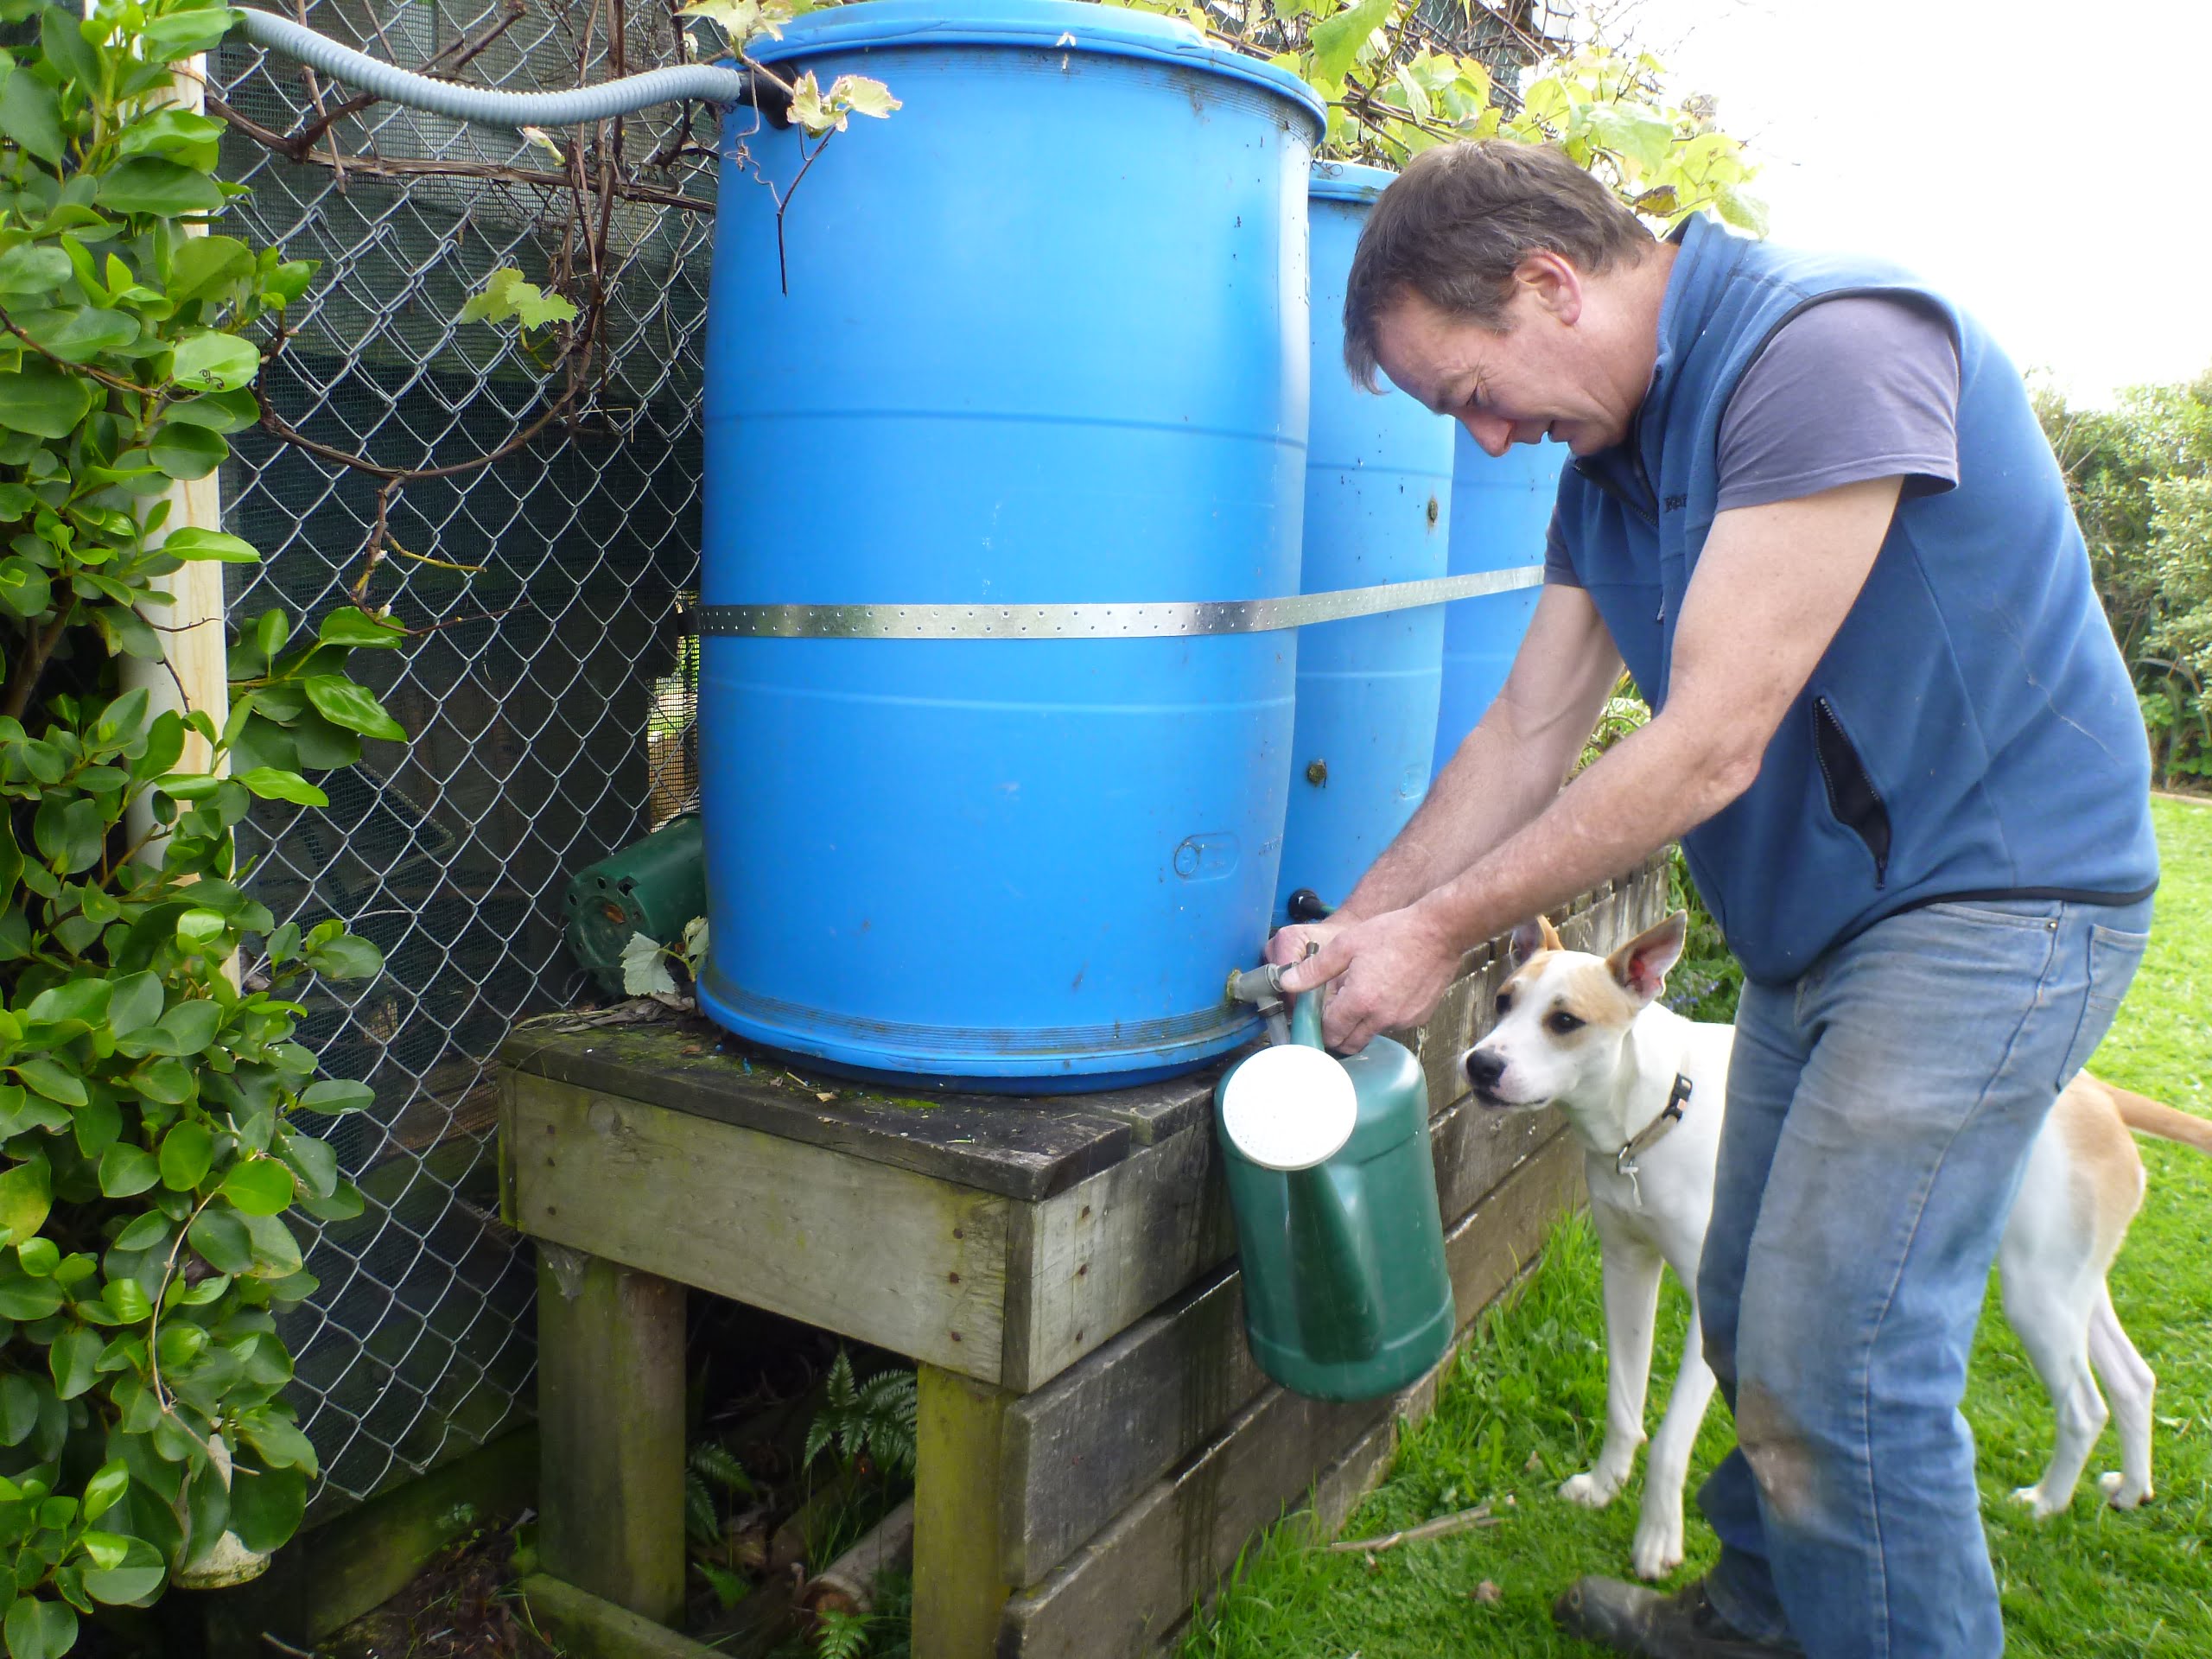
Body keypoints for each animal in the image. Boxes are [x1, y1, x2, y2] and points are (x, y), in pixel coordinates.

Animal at [1459, 925, 2202, 1583]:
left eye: (1565, 1020)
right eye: (1502, 1001)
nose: (1480, 1064)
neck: (1658, 1102)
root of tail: (2100, 1094)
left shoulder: (1714, 1306)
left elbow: (1670, 1439)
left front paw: (1657, 1538)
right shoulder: (1626, 1270)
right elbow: (1623, 1402)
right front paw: (1604, 1483)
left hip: (2035, 1296)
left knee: (2084, 1404)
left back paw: (2046, 1502)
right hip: (2068, 1287)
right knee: (2134, 1380)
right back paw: (2129, 1488)